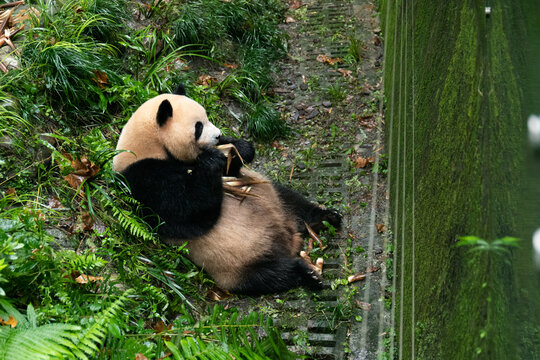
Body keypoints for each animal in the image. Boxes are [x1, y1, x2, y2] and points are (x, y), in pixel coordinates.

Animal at [113, 85, 342, 296]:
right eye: (198, 126)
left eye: (207, 116)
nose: (218, 135)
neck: (150, 146)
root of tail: (290, 237)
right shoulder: (143, 178)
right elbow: (188, 212)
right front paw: (211, 161)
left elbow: (232, 169)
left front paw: (239, 148)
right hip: (238, 267)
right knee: (272, 275)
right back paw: (307, 273)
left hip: (275, 197)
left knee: (295, 203)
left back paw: (326, 217)